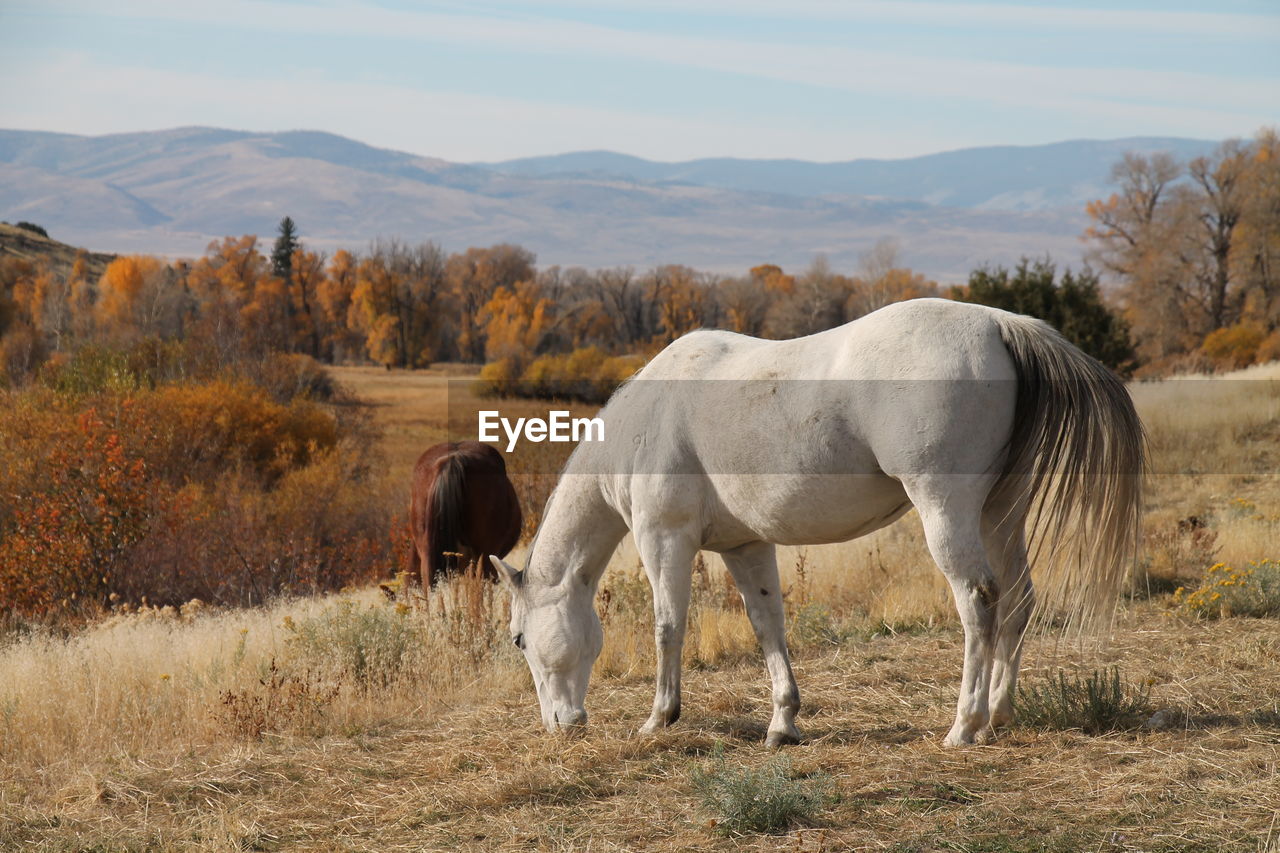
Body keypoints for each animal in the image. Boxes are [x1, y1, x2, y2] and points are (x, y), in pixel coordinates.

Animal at [486, 297, 1141, 742]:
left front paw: (659, 718)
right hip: (1000, 514)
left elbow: (668, 627)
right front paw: (783, 724)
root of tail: (1000, 325)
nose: (560, 723)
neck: (644, 422)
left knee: (979, 601)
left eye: (519, 638)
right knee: (1019, 600)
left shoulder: (663, 540)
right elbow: (768, 628)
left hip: (948, 513)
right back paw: (999, 715)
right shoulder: (746, 548)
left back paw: (965, 725)